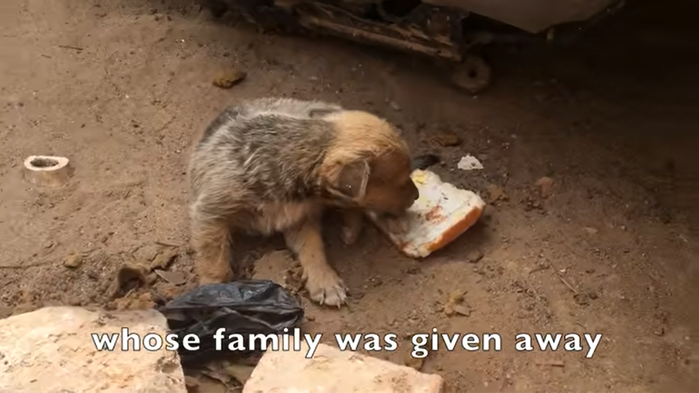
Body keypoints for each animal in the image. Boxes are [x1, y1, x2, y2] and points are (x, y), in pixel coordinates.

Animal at [186, 97, 418, 306]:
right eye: (398, 183)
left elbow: (313, 249)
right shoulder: (211, 214)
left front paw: (324, 281)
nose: (416, 195)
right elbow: (213, 258)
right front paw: (213, 290)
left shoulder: (301, 219)